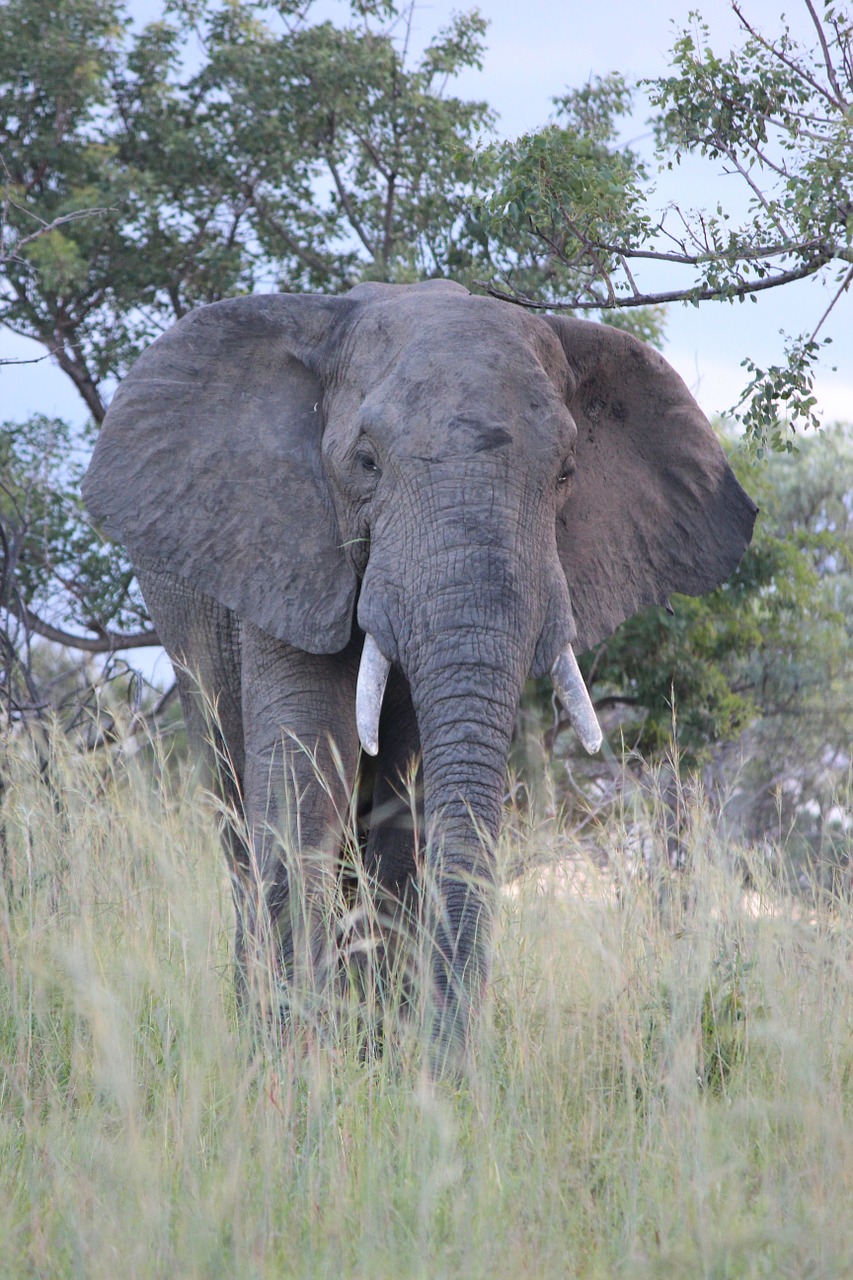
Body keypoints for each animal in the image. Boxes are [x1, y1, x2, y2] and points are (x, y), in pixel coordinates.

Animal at [83, 280, 753, 1070]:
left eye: (565, 473)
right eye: (366, 462)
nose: (456, 1062)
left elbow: (409, 804)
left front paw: (390, 1064)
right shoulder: (285, 546)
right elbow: (307, 777)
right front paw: (293, 1063)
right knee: (234, 804)